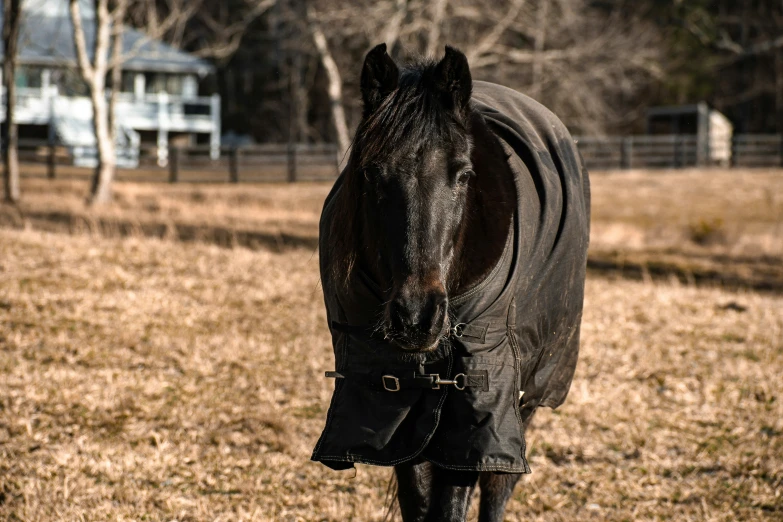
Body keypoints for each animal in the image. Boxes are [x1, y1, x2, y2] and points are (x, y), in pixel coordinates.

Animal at [312, 44, 588, 520]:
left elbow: (456, 494)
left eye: (462, 174)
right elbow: (418, 497)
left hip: (530, 389)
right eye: (370, 173)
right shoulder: (396, 398)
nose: (415, 317)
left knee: (498, 486)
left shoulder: (479, 399)